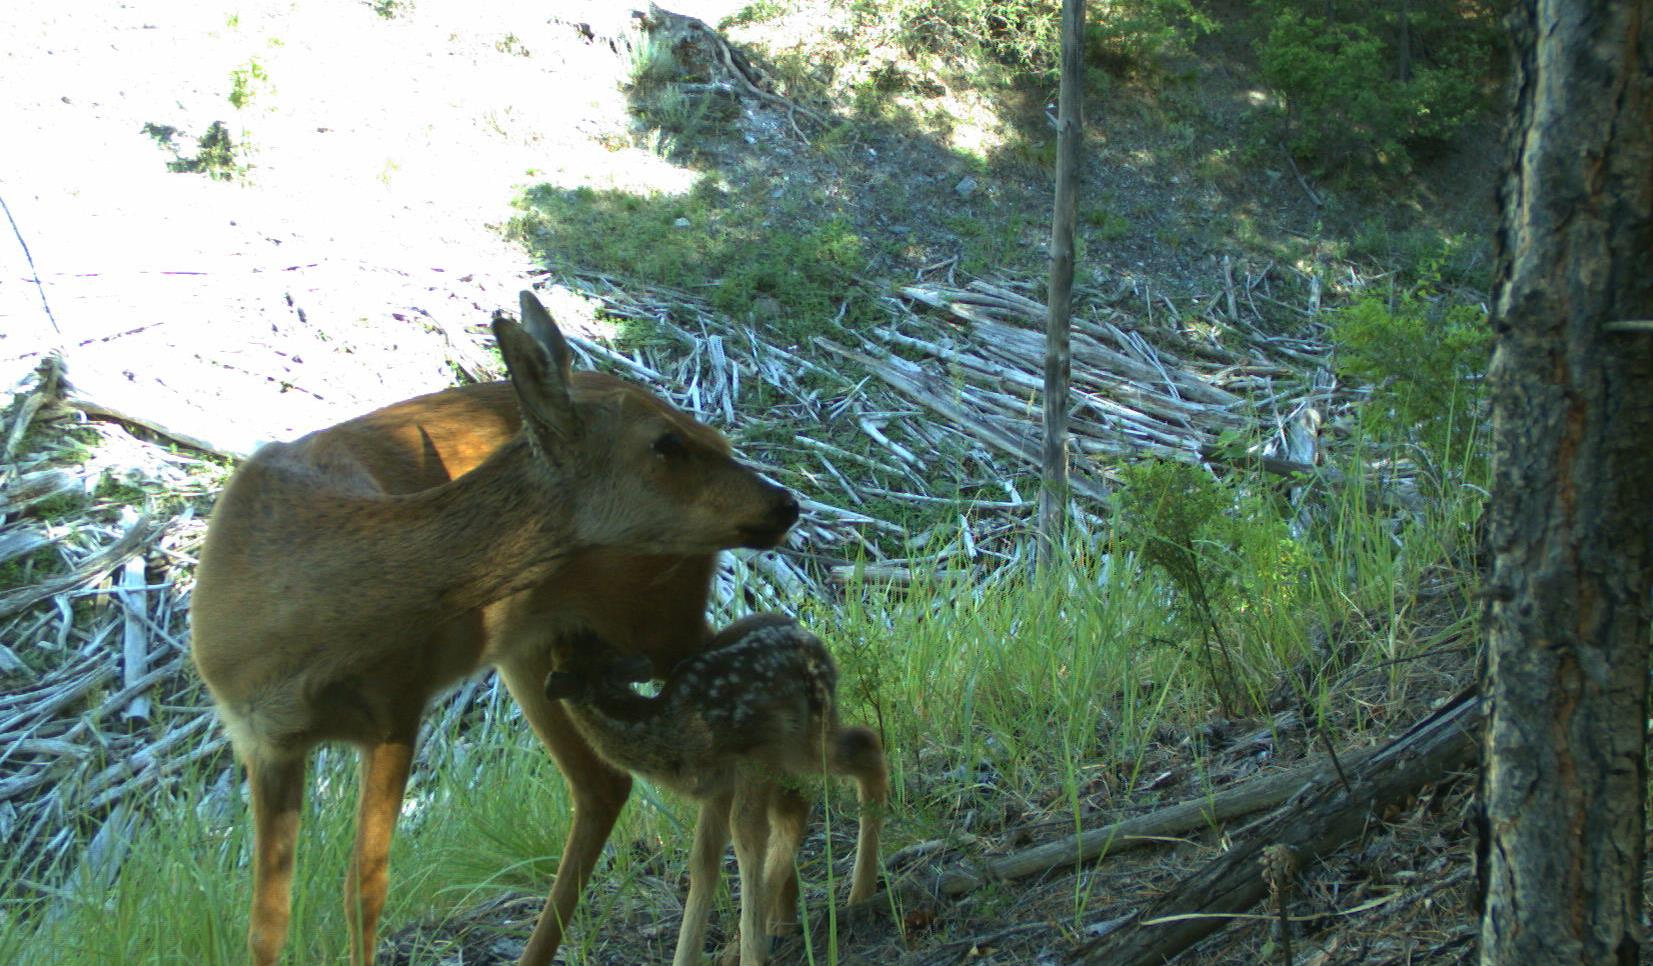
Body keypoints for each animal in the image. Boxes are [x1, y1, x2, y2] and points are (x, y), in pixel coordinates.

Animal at [190, 291, 796, 959]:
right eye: (665, 444)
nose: (786, 501)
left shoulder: (399, 706)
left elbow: (364, 889)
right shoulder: (260, 738)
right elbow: (266, 921)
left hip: (656, 615)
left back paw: (777, 917)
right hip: (539, 648)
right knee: (604, 784)